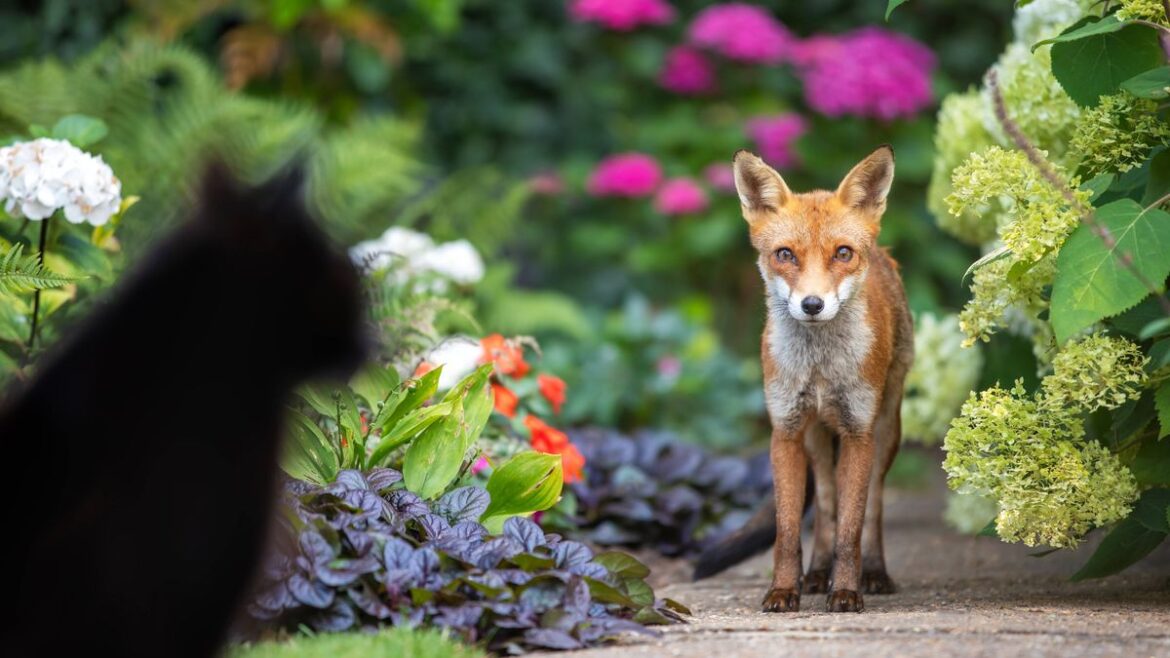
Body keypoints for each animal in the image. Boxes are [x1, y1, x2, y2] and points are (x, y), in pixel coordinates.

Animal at [698, 146, 913, 613]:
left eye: (843, 253)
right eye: (785, 254)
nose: (812, 304)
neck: (819, 369)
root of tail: (884, 254)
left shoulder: (857, 433)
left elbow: (852, 528)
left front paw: (846, 591)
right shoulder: (786, 432)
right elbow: (788, 531)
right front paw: (784, 590)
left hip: (886, 430)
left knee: (873, 506)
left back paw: (874, 573)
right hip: (816, 440)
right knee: (828, 505)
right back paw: (815, 574)